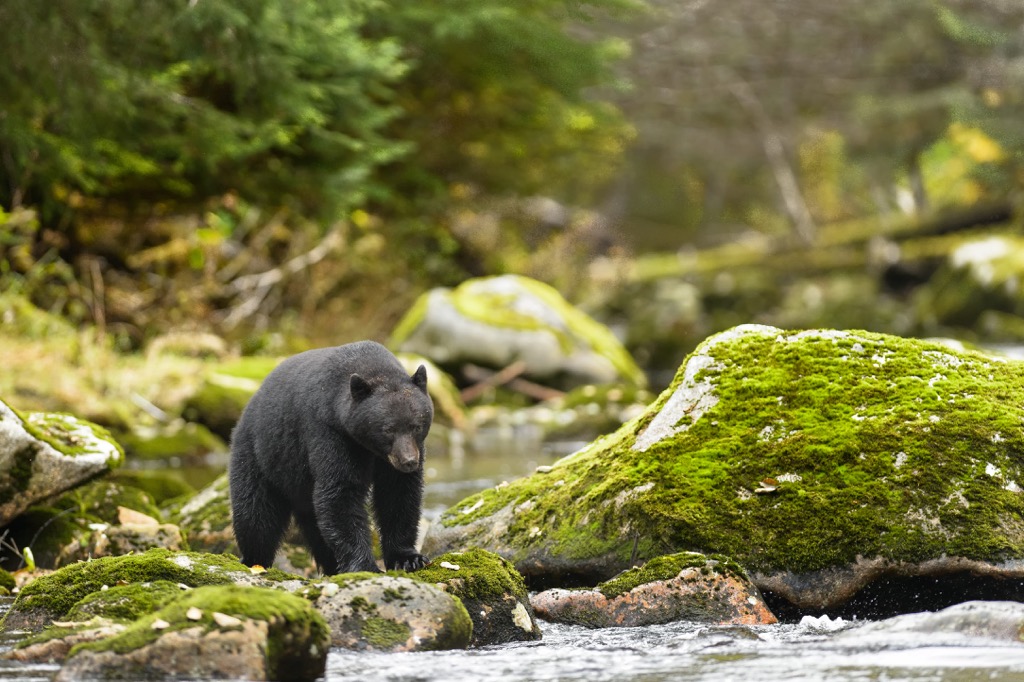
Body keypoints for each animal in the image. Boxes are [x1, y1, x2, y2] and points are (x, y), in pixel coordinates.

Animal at [228, 340, 433, 574]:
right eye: (388, 429)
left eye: (416, 426)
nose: (409, 461)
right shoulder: (330, 433)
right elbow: (340, 492)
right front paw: (365, 565)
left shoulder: (397, 457)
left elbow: (398, 494)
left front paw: (408, 558)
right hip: (260, 456)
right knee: (255, 514)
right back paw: (254, 560)